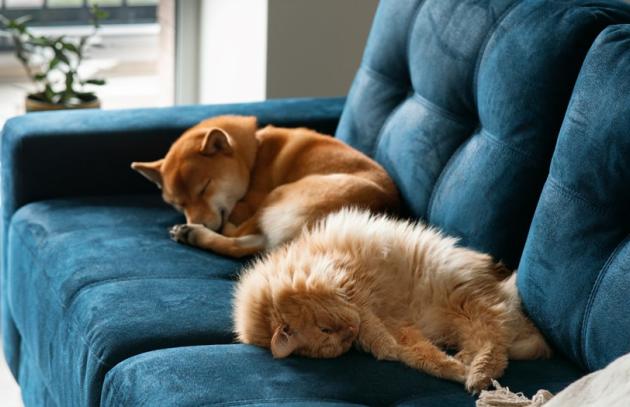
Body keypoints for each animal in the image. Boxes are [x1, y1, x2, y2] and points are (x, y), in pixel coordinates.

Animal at [131, 115, 402, 258]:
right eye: (178, 204)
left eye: (205, 188)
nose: (198, 221)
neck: (253, 155)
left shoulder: (251, 200)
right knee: (242, 247)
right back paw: (193, 235)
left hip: (279, 194)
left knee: (236, 237)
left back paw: (197, 232)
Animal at [233, 209, 552, 394]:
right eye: (333, 341)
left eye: (325, 329)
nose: (348, 334)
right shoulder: (393, 323)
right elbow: (410, 353)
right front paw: (445, 366)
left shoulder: (355, 290)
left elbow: (376, 331)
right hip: (464, 314)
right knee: (491, 342)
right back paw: (467, 366)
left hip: (468, 301)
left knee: (494, 342)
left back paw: (476, 375)